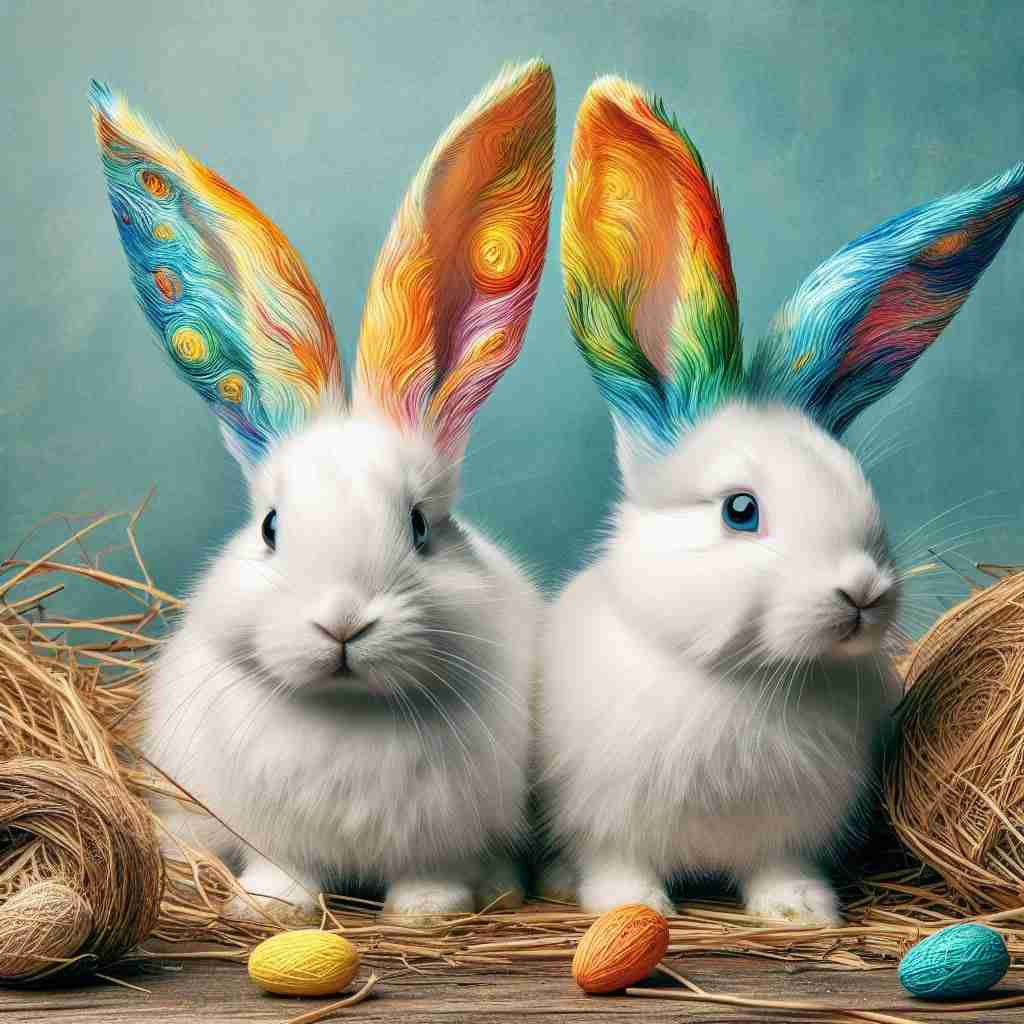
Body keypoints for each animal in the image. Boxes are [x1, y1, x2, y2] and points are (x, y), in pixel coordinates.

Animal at [89, 61, 555, 918]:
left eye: (420, 527)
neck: (348, 712)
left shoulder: (443, 836)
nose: (342, 622)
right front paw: (269, 908)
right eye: (271, 527)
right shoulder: (269, 831)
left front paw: (426, 911)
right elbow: (285, 868)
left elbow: (434, 870)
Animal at [536, 75, 1024, 925]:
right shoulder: (604, 817)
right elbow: (619, 864)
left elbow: (777, 866)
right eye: (740, 510)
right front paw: (632, 910)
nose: (862, 592)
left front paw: (800, 911)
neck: (748, 677)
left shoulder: (789, 831)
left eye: (857, 482)